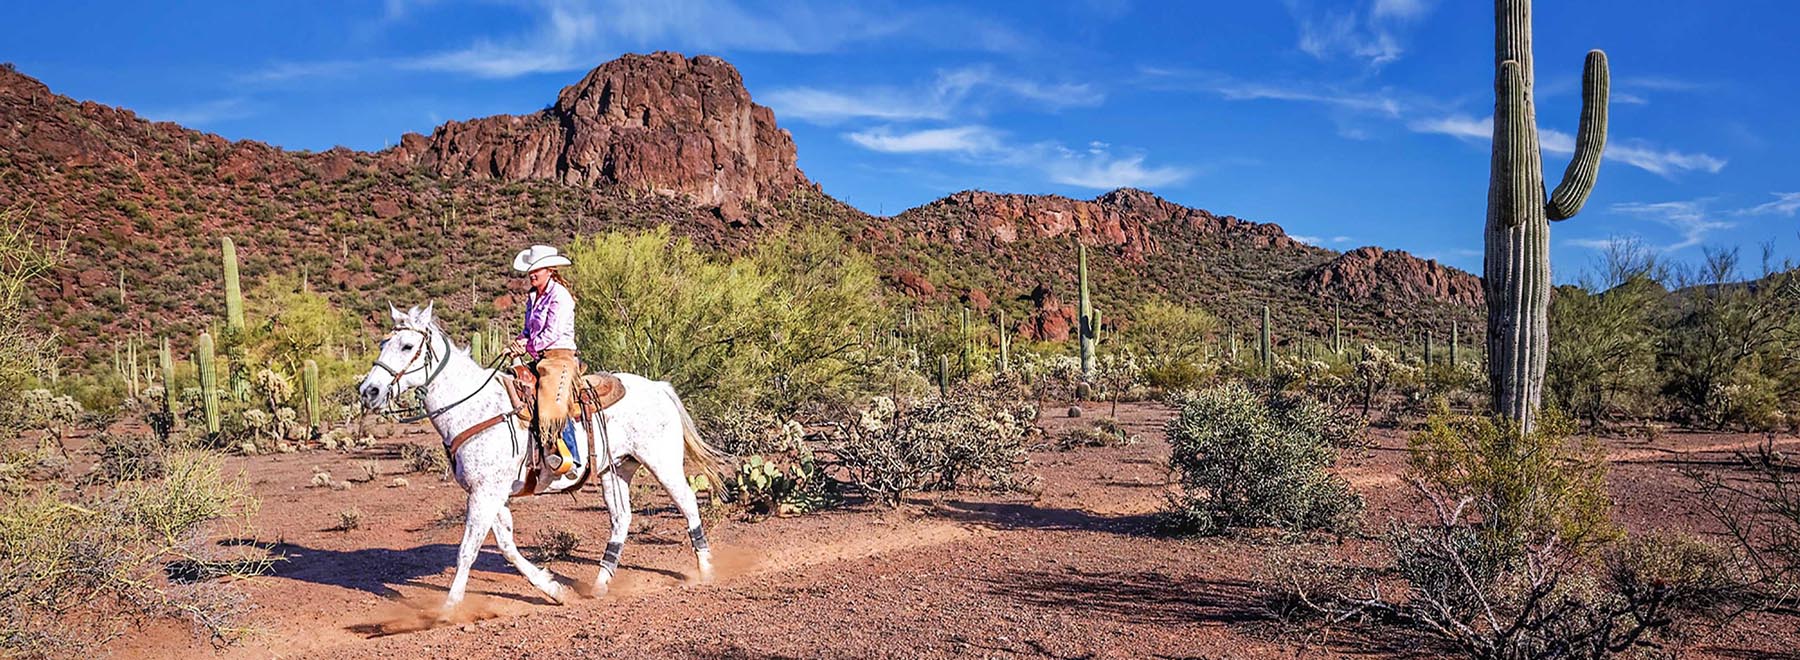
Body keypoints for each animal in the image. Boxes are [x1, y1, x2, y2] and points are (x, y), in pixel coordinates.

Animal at [357, 303, 725, 615]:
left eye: (407, 346)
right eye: (383, 343)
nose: (368, 391)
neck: (474, 408)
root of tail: (658, 386)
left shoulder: (485, 493)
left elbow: (468, 550)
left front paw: (447, 610)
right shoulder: (488, 493)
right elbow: (506, 546)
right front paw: (554, 589)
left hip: (662, 462)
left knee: (687, 502)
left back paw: (706, 570)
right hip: (615, 469)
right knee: (622, 518)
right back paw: (600, 584)